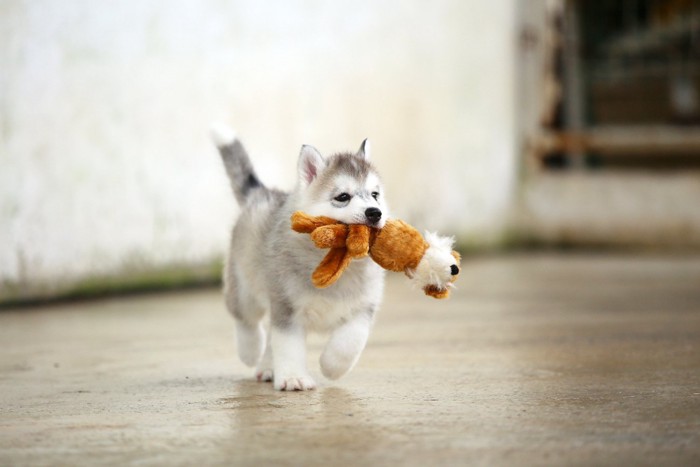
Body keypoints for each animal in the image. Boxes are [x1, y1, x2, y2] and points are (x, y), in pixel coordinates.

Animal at [212, 124, 388, 392]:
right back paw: (251, 351)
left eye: (375, 195)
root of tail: (262, 193)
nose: (374, 212)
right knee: (246, 319)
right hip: (244, 288)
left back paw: (267, 366)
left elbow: (350, 342)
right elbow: (288, 345)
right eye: (343, 197)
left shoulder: (363, 307)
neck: (337, 262)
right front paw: (293, 378)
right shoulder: (287, 307)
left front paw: (331, 366)